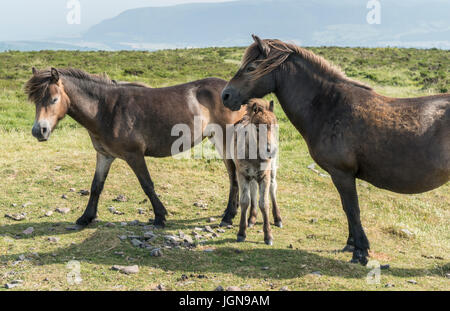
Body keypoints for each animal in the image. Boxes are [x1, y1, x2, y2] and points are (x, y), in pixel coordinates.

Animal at [26, 67, 244, 229]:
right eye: (35, 101)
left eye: (54, 99)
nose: (39, 131)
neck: (105, 110)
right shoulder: (104, 156)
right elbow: (96, 186)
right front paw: (86, 217)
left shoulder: (134, 155)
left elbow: (147, 185)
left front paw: (160, 217)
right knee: (232, 173)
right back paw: (230, 213)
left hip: (225, 138)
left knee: (233, 173)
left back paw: (228, 216)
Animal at [222, 36, 450, 266]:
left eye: (251, 67)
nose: (226, 95)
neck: (329, 105)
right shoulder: (340, 176)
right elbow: (346, 209)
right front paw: (351, 244)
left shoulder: (342, 174)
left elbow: (352, 209)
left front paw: (361, 252)